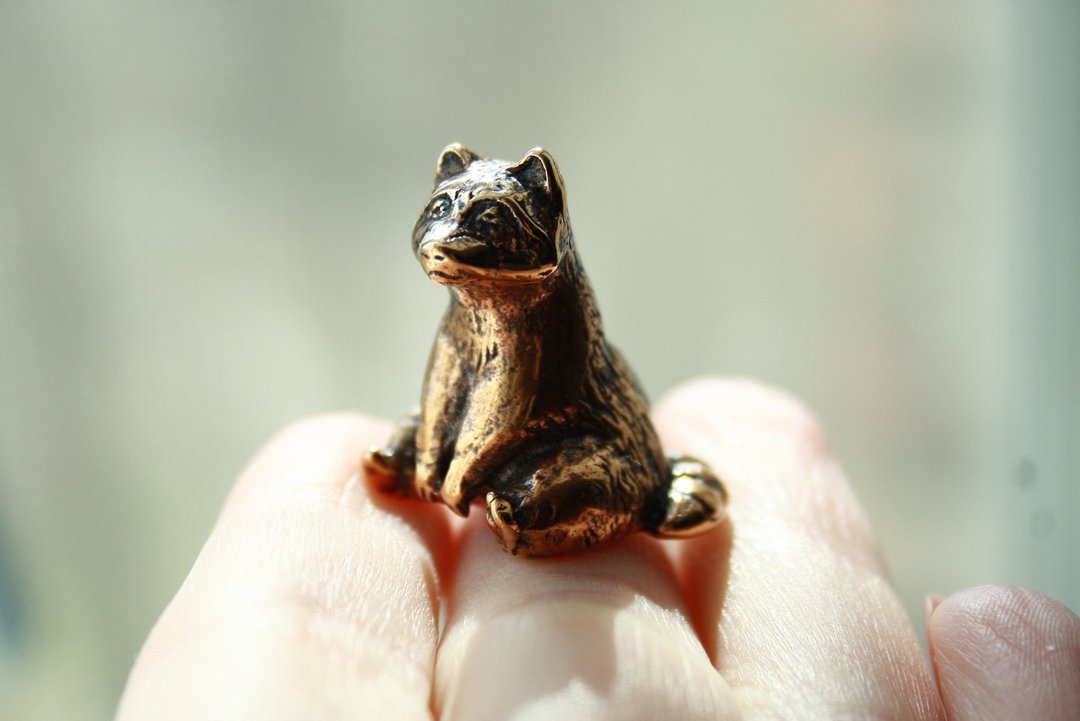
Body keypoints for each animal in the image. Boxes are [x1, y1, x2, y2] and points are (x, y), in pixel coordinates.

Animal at [363, 144, 726, 557]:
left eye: (491, 216)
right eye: (439, 206)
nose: (439, 249)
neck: (481, 322)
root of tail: (661, 481)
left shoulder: (530, 368)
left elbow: (491, 432)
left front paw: (452, 488)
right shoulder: (448, 353)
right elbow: (436, 410)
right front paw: (426, 479)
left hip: (598, 464)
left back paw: (505, 516)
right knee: (410, 424)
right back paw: (386, 463)